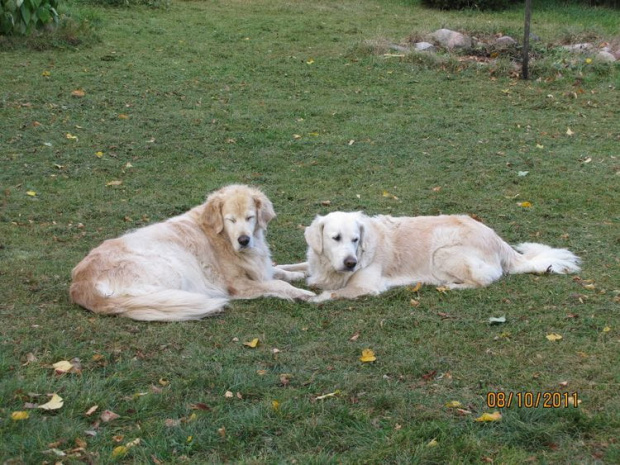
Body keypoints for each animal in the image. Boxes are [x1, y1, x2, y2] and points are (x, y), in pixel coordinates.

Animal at [70, 183, 314, 320]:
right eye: (230, 220)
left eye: (250, 217)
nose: (244, 240)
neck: (221, 237)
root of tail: (79, 285)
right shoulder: (237, 284)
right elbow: (277, 284)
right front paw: (302, 293)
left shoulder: (259, 266)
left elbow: (278, 269)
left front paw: (297, 273)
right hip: (170, 268)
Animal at [302, 210, 580, 300]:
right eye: (335, 238)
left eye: (355, 240)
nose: (351, 263)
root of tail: (497, 238)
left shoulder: (367, 286)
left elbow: (331, 294)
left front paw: (311, 298)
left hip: (442, 252)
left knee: (484, 280)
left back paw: (452, 286)